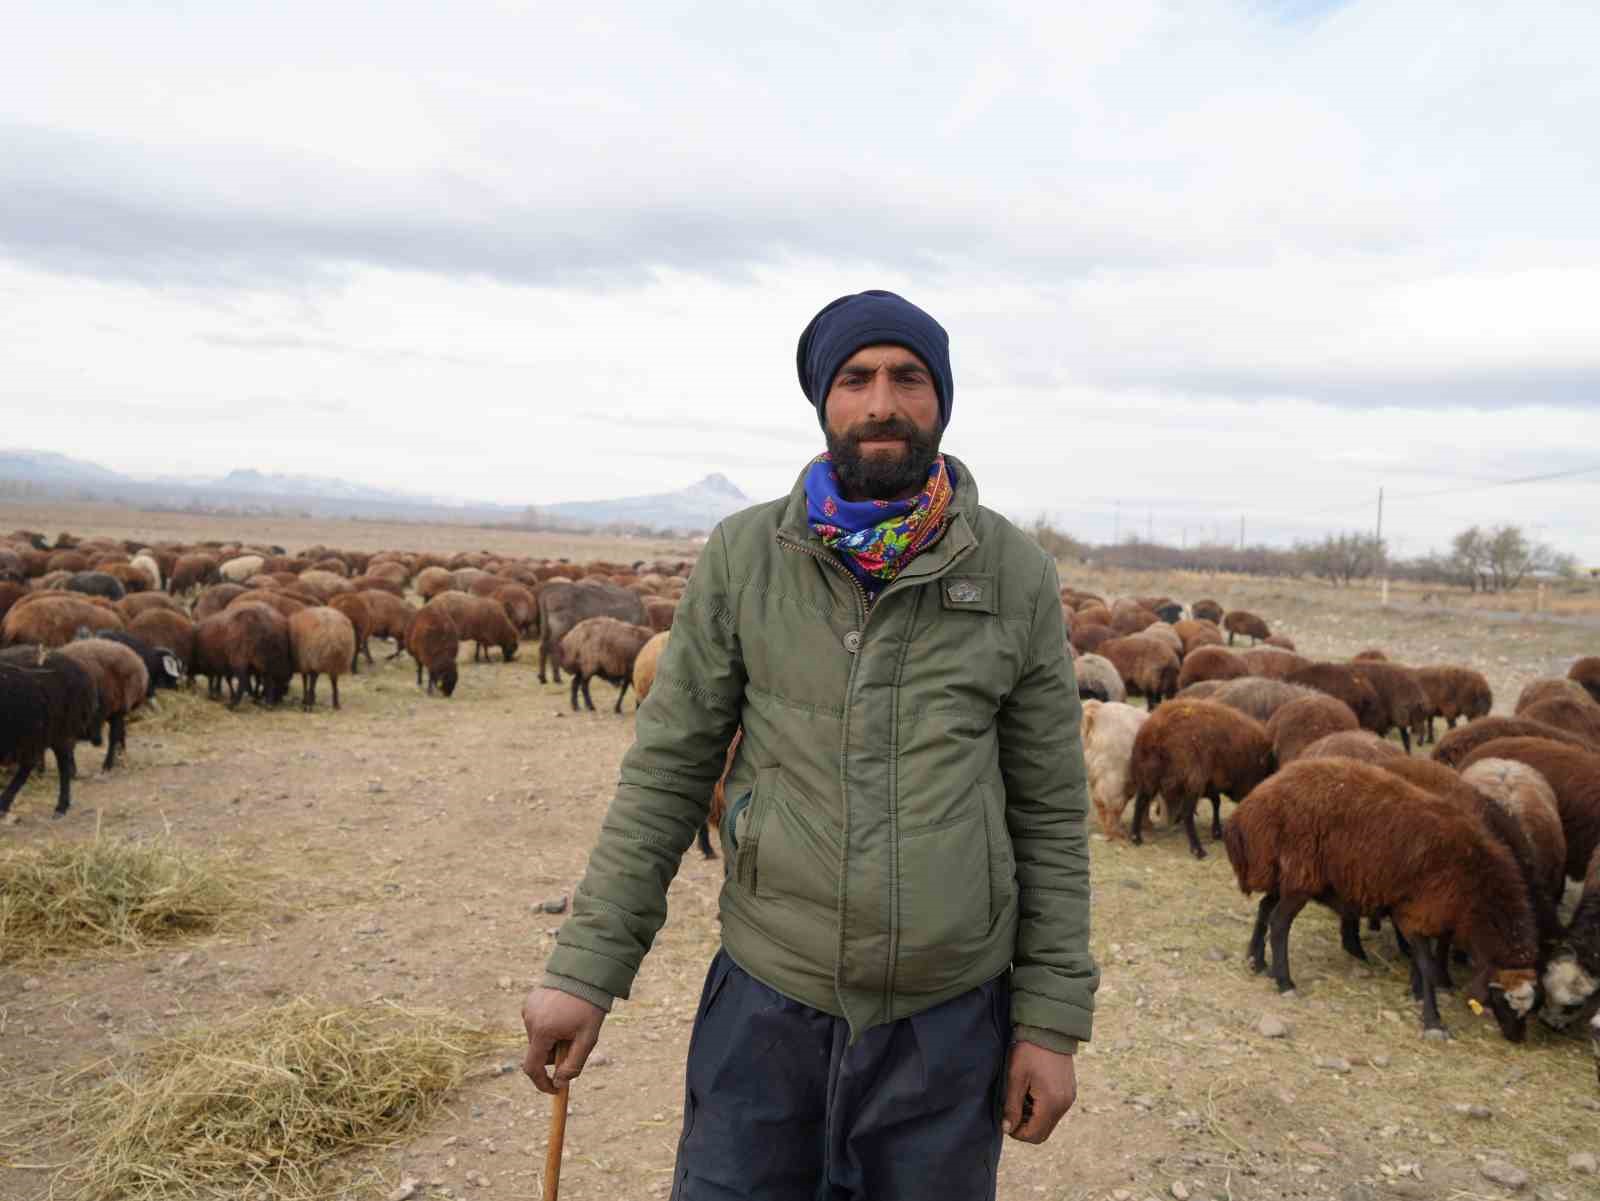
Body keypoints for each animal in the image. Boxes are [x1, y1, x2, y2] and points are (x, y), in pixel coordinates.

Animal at [55, 639, 148, 770]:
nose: (96, 740)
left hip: (118, 710)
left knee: (115, 736)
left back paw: (108, 764)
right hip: (113, 712)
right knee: (121, 733)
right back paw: (121, 757)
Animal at [1126, 700, 1273, 857]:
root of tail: (1156, 733)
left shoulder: (1210, 782)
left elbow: (1216, 802)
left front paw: (1217, 831)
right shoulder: (1205, 780)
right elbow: (1215, 802)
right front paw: (1216, 832)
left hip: (1149, 776)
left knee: (1141, 802)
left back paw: (1136, 837)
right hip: (1191, 779)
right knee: (1187, 813)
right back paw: (1198, 849)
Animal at [1216, 764, 1542, 1036]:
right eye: (1503, 1000)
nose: (1517, 1040)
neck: (1479, 888)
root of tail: (1253, 806)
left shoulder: (1421, 911)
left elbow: (1422, 960)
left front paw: (1418, 993)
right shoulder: (1419, 911)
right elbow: (1425, 963)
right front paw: (1432, 1019)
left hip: (1289, 875)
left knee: (1264, 908)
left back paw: (1257, 962)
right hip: (1300, 876)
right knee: (1279, 923)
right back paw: (1285, 982)